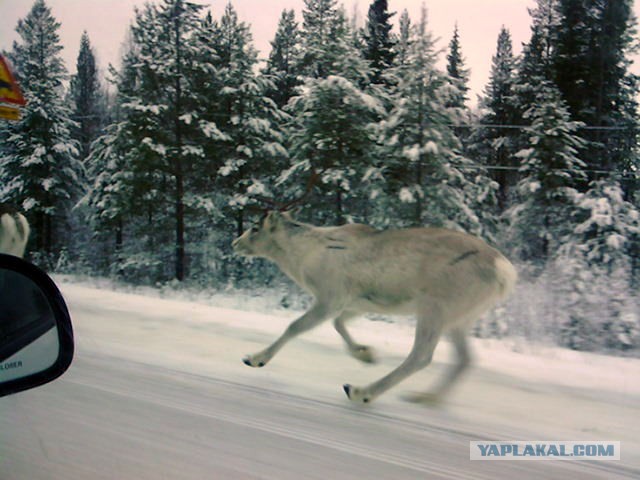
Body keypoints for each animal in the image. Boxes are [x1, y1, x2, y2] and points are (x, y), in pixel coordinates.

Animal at [232, 179, 517, 404]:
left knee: (421, 356)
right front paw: (366, 354)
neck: (301, 259)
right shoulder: (358, 302)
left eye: (255, 227)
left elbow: (296, 326)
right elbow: (338, 324)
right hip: (461, 318)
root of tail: (504, 273)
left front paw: (255, 358)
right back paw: (425, 398)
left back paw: (360, 391)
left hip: (436, 308)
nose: (236, 243)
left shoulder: (331, 295)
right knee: (465, 358)